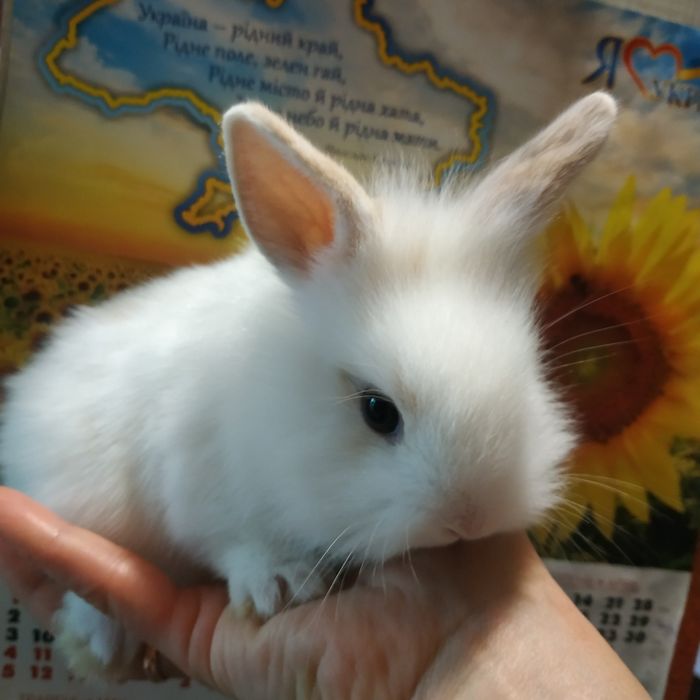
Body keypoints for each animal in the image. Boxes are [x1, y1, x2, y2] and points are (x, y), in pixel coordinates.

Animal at [0, 92, 616, 679]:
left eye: (530, 376)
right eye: (377, 410)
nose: (468, 521)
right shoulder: (199, 482)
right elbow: (232, 540)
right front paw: (281, 584)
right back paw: (101, 646)